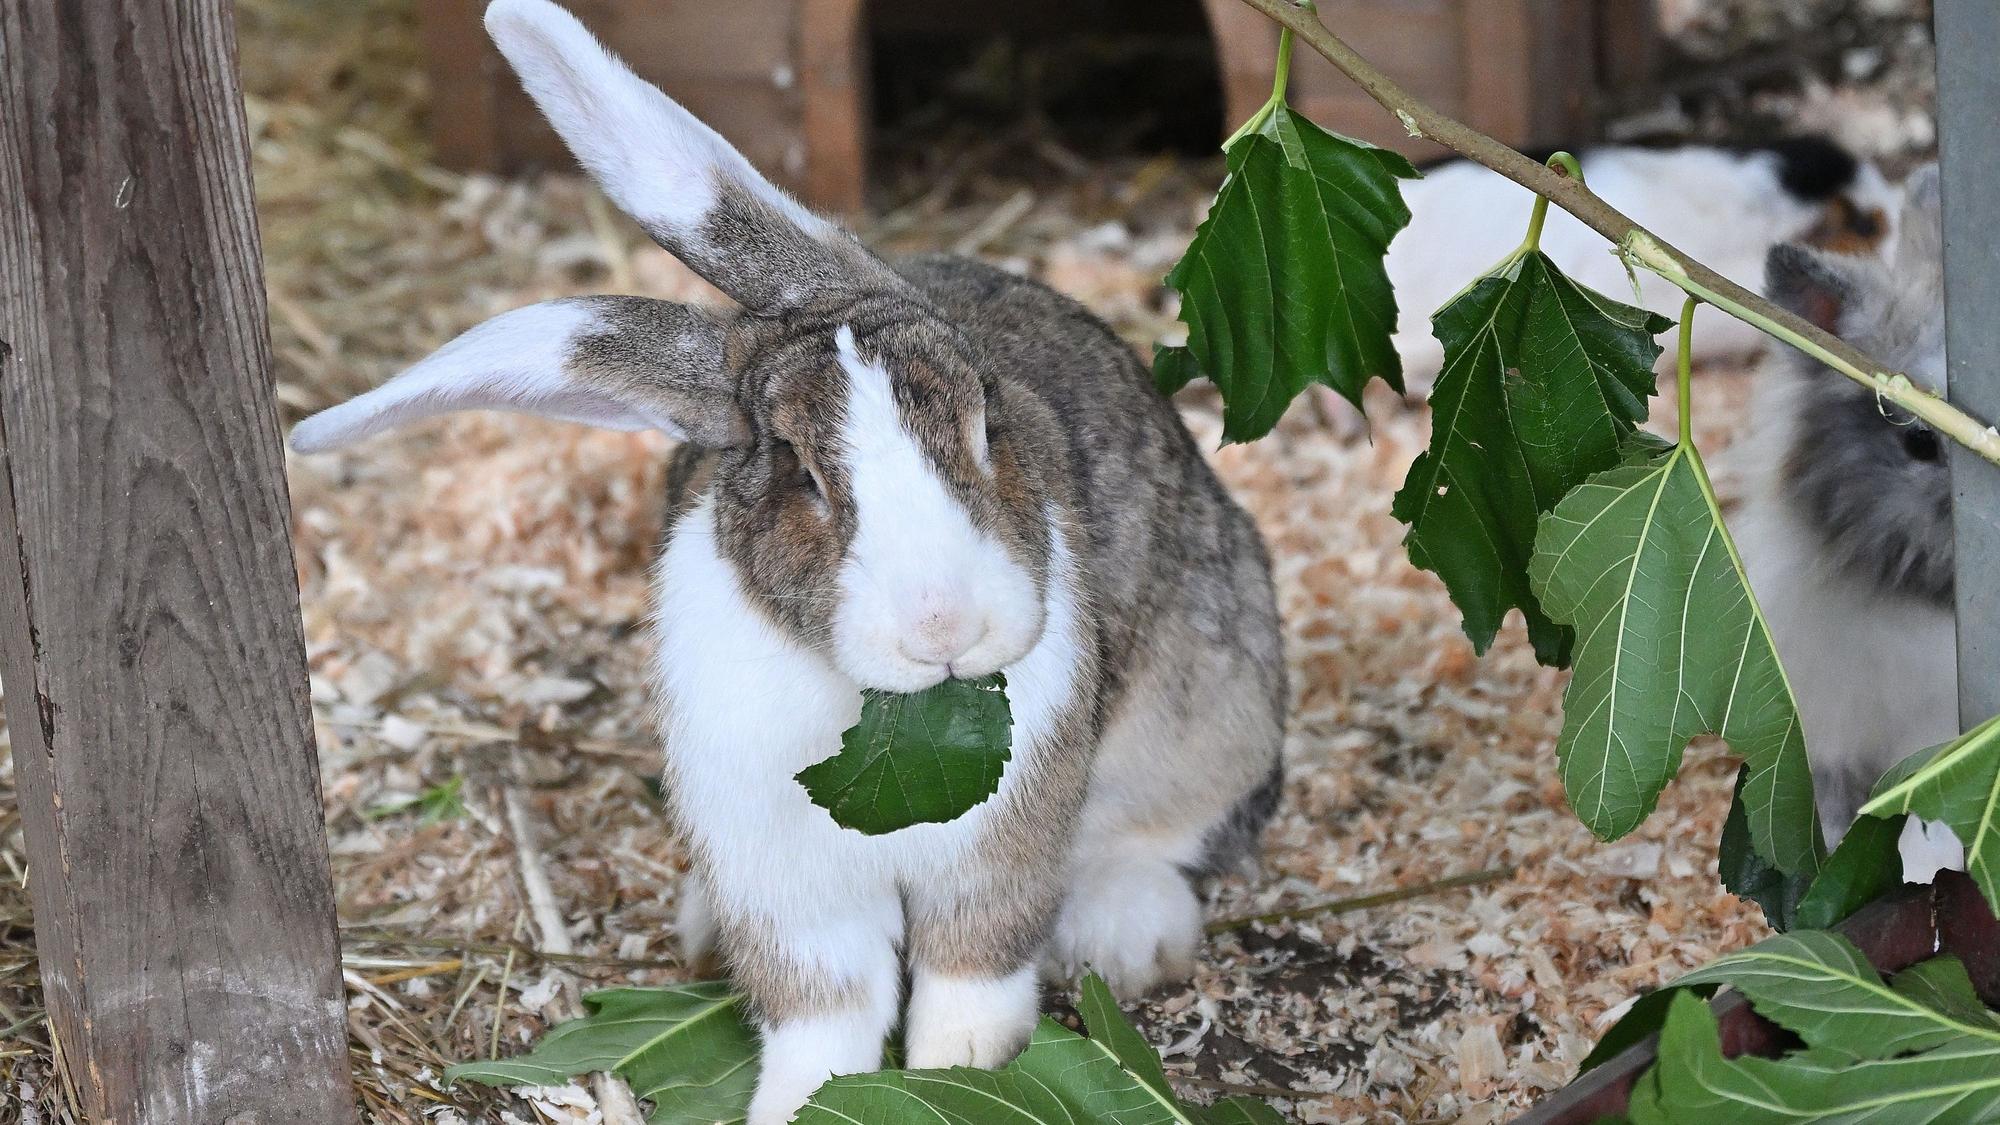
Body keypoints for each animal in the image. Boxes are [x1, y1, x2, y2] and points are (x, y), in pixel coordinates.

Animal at [288, 1, 1286, 1120]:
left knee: (1169, 825)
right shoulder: (784, 880)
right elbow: (826, 1009)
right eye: (802, 473)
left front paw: (955, 1078)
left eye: (986, 420)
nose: (945, 624)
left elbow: (970, 985)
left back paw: (1125, 930)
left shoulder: (1000, 850)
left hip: (1213, 696)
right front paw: (804, 1098)